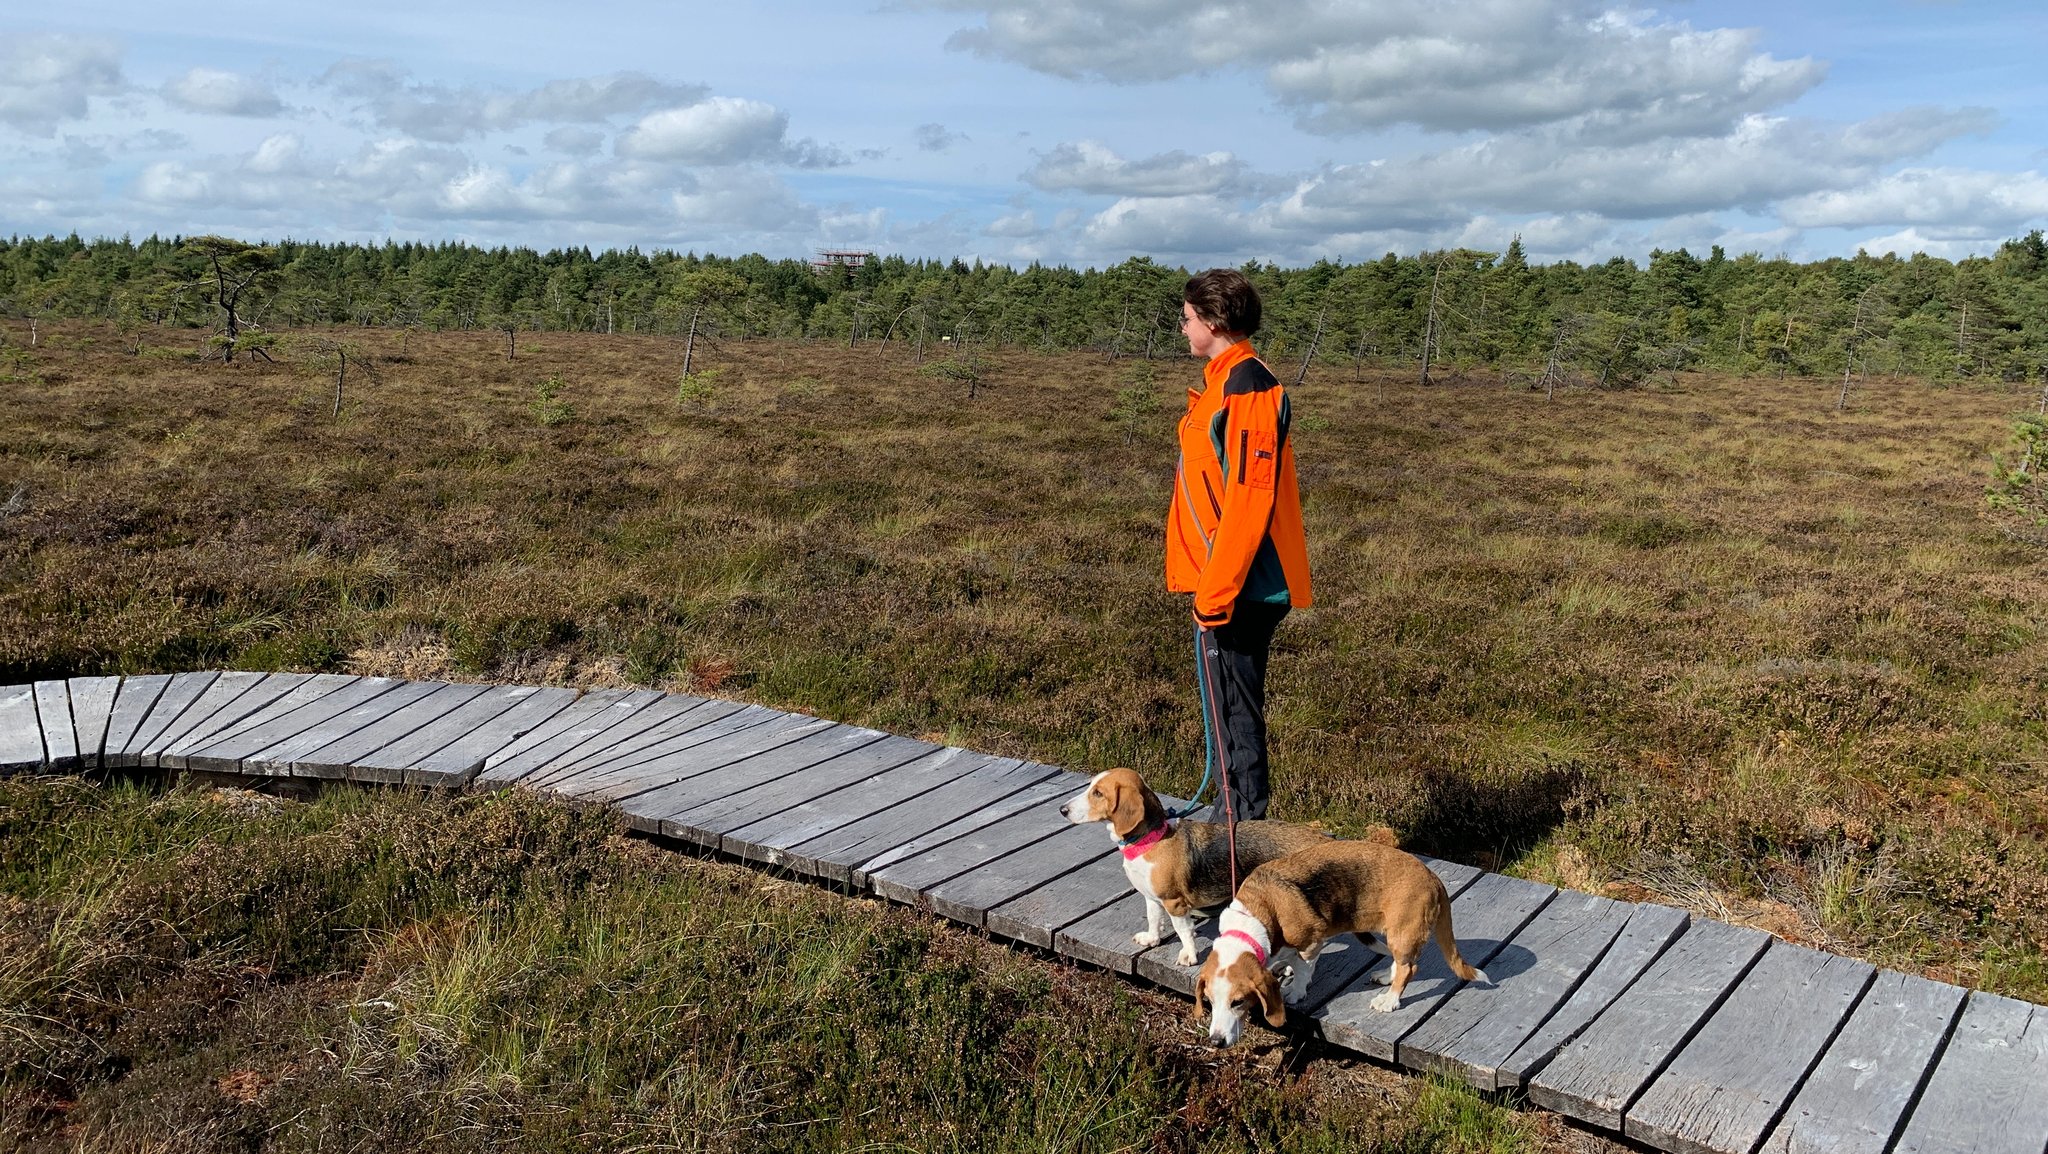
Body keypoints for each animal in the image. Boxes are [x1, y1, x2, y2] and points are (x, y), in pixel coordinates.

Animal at [1056, 770, 1327, 971]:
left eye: (1098, 793)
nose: (1062, 810)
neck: (1150, 839)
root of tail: (1319, 839)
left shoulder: (1174, 902)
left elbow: (1183, 930)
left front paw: (1189, 955)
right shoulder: (1152, 898)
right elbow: (1154, 919)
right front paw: (1152, 939)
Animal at [1187, 840, 1490, 1049]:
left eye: (1238, 1002)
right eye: (1209, 1002)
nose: (1215, 1042)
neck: (1258, 912)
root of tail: (1433, 878)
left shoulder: (1311, 940)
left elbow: (1304, 969)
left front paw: (1296, 990)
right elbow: (1287, 960)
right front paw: (1283, 968)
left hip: (1401, 933)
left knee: (1409, 969)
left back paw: (1389, 1000)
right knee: (1400, 962)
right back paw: (1386, 977)